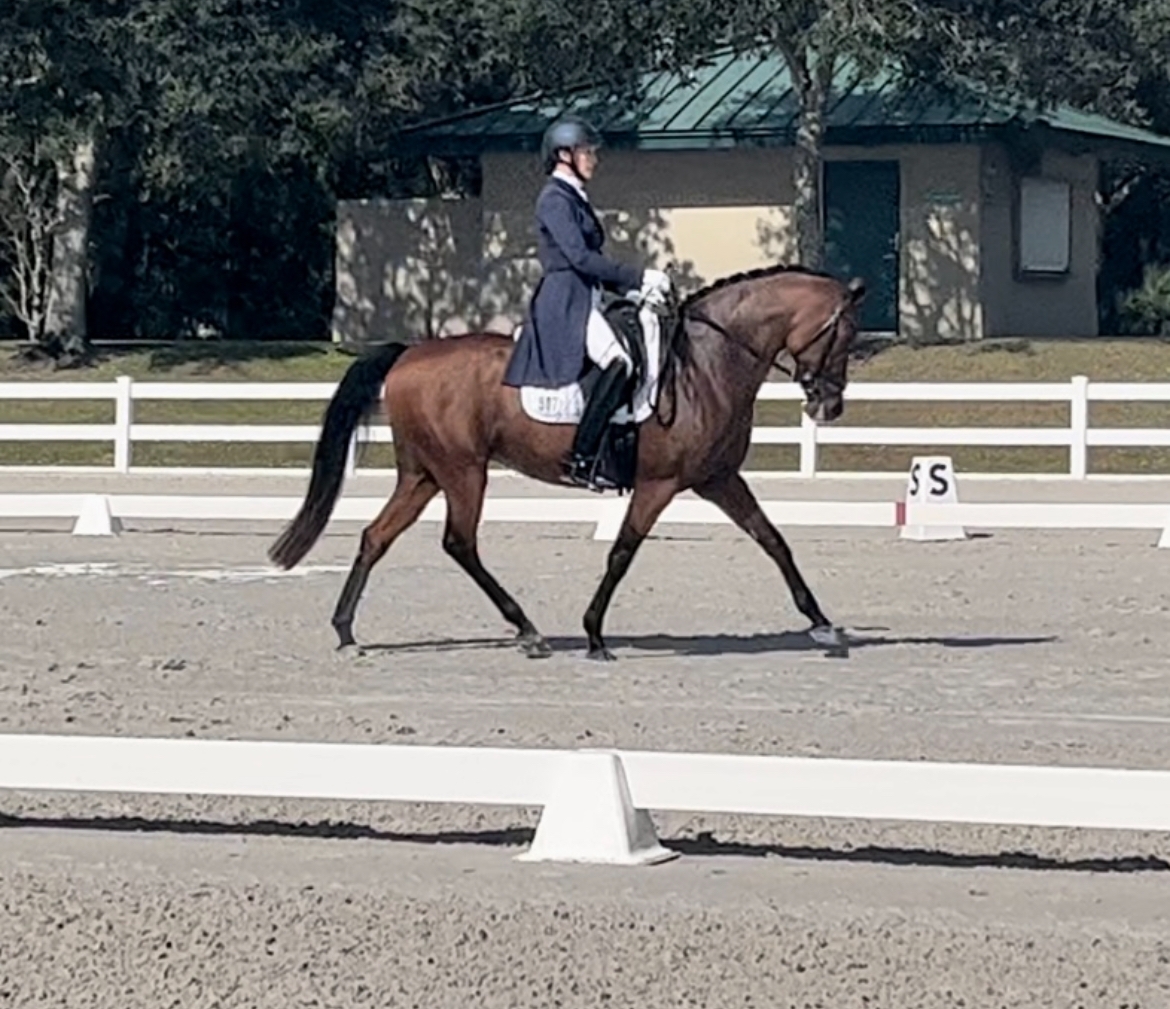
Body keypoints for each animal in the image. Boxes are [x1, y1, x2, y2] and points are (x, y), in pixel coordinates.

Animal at [268, 263, 866, 660]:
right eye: (845, 334)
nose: (829, 406)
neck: (708, 363)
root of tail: (411, 352)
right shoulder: (659, 483)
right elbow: (622, 553)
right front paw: (595, 633)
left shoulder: (719, 478)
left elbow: (773, 540)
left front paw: (822, 623)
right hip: (463, 471)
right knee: (459, 543)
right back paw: (528, 631)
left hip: (424, 474)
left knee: (377, 536)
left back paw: (346, 631)